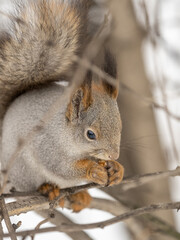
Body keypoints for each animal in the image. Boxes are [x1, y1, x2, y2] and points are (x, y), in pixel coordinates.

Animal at [0, 0, 124, 211]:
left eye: (120, 126)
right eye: (90, 134)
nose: (114, 155)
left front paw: (117, 170)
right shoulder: (47, 144)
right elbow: (61, 167)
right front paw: (92, 169)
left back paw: (80, 195)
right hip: (22, 169)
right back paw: (48, 188)